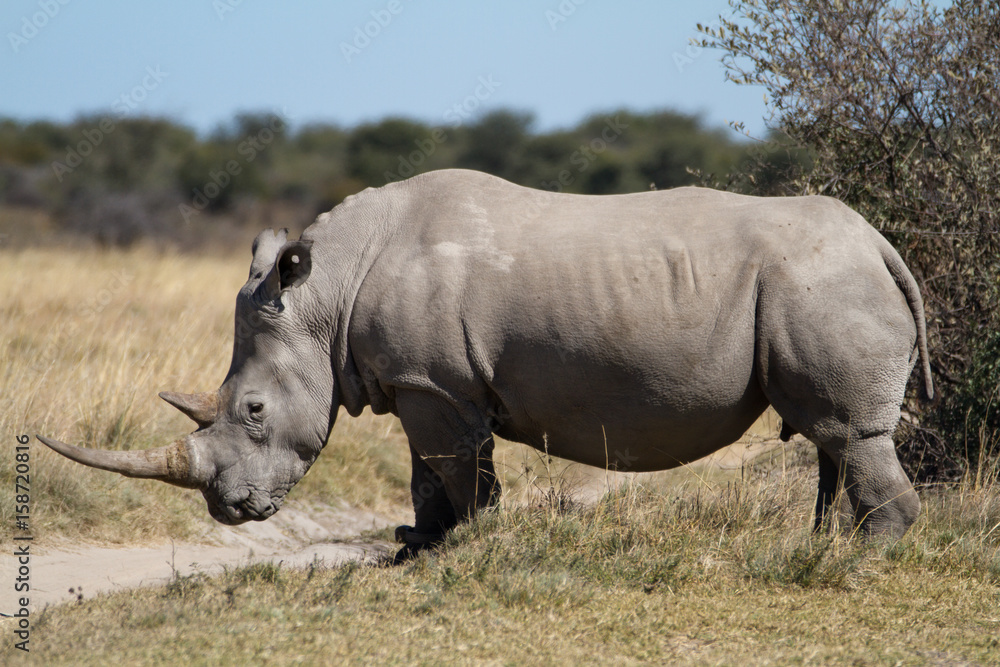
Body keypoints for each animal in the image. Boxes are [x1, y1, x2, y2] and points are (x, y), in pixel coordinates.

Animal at [39, 169, 933, 560]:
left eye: (253, 411)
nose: (228, 509)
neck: (326, 293)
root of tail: (882, 244)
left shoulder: (437, 384)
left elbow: (458, 469)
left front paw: (462, 546)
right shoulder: (417, 379)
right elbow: (423, 472)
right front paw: (416, 546)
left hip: (822, 283)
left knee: (849, 433)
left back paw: (866, 558)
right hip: (819, 283)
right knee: (830, 436)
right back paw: (823, 547)